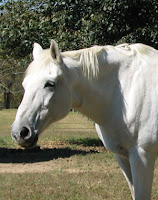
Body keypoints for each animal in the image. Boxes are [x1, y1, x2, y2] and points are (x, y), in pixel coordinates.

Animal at [11, 39, 158, 199]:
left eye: (50, 84)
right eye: (24, 84)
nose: (20, 132)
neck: (127, 90)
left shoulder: (142, 157)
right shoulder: (122, 156)